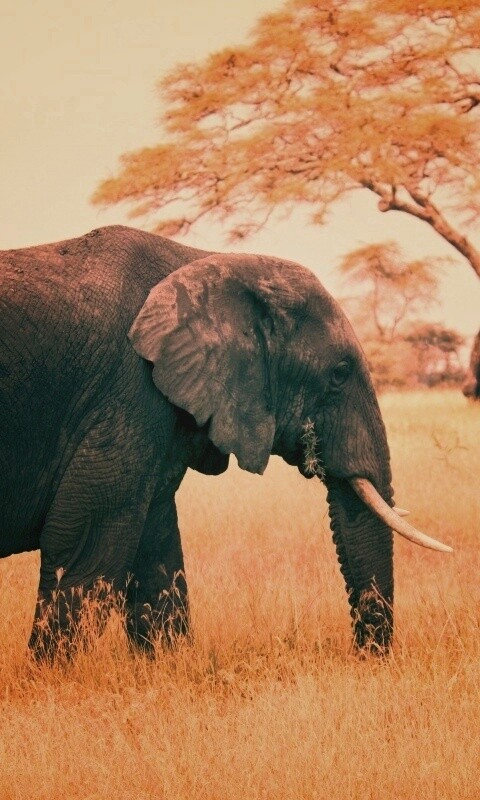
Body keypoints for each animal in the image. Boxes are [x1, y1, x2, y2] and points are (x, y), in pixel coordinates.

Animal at [0, 225, 452, 659]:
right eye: (339, 374)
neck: (207, 261)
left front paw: (168, 663)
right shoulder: (129, 391)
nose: (365, 658)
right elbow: (87, 545)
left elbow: (156, 547)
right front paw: (51, 674)